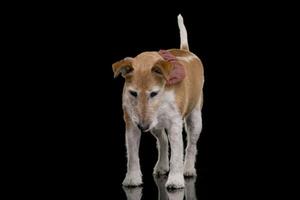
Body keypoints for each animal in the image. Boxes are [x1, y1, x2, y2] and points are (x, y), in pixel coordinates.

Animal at [112, 14, 204, 189]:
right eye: (133, 93)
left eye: (154, 93)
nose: (143, 127)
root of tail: (186, 51)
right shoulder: (131, 124)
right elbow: (132, 154)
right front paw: (132, 178)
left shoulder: (175, 124)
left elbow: (177, 154)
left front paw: (175, 180)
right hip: (156, 126)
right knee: (162, 140)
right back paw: (161, 166)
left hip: (195, 117)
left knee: (191, 145)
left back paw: (188, 169)